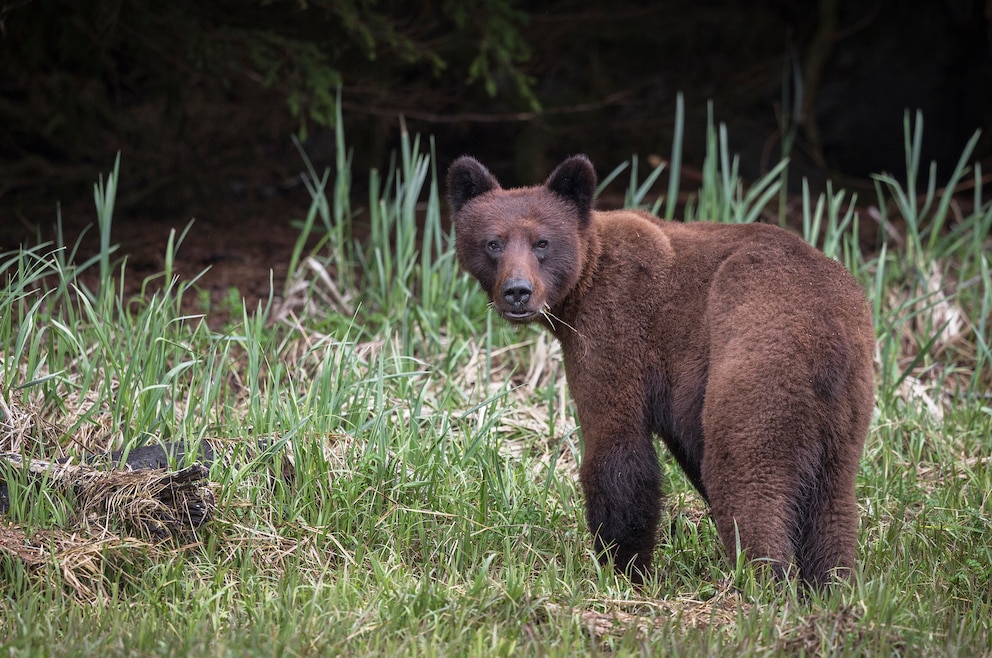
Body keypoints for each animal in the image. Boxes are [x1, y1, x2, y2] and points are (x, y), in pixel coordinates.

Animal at [446, 152, 872, 584]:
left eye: (542, 242)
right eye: (493, 242)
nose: (518, 292)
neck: (581, 288)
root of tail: (827, 335)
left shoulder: (617, 327)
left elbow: (618, 448)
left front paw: (624, 567)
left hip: (759, 366)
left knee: (747, 477)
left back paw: (765, 581)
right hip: (846, 407)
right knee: (832, 504)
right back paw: (833, 583)